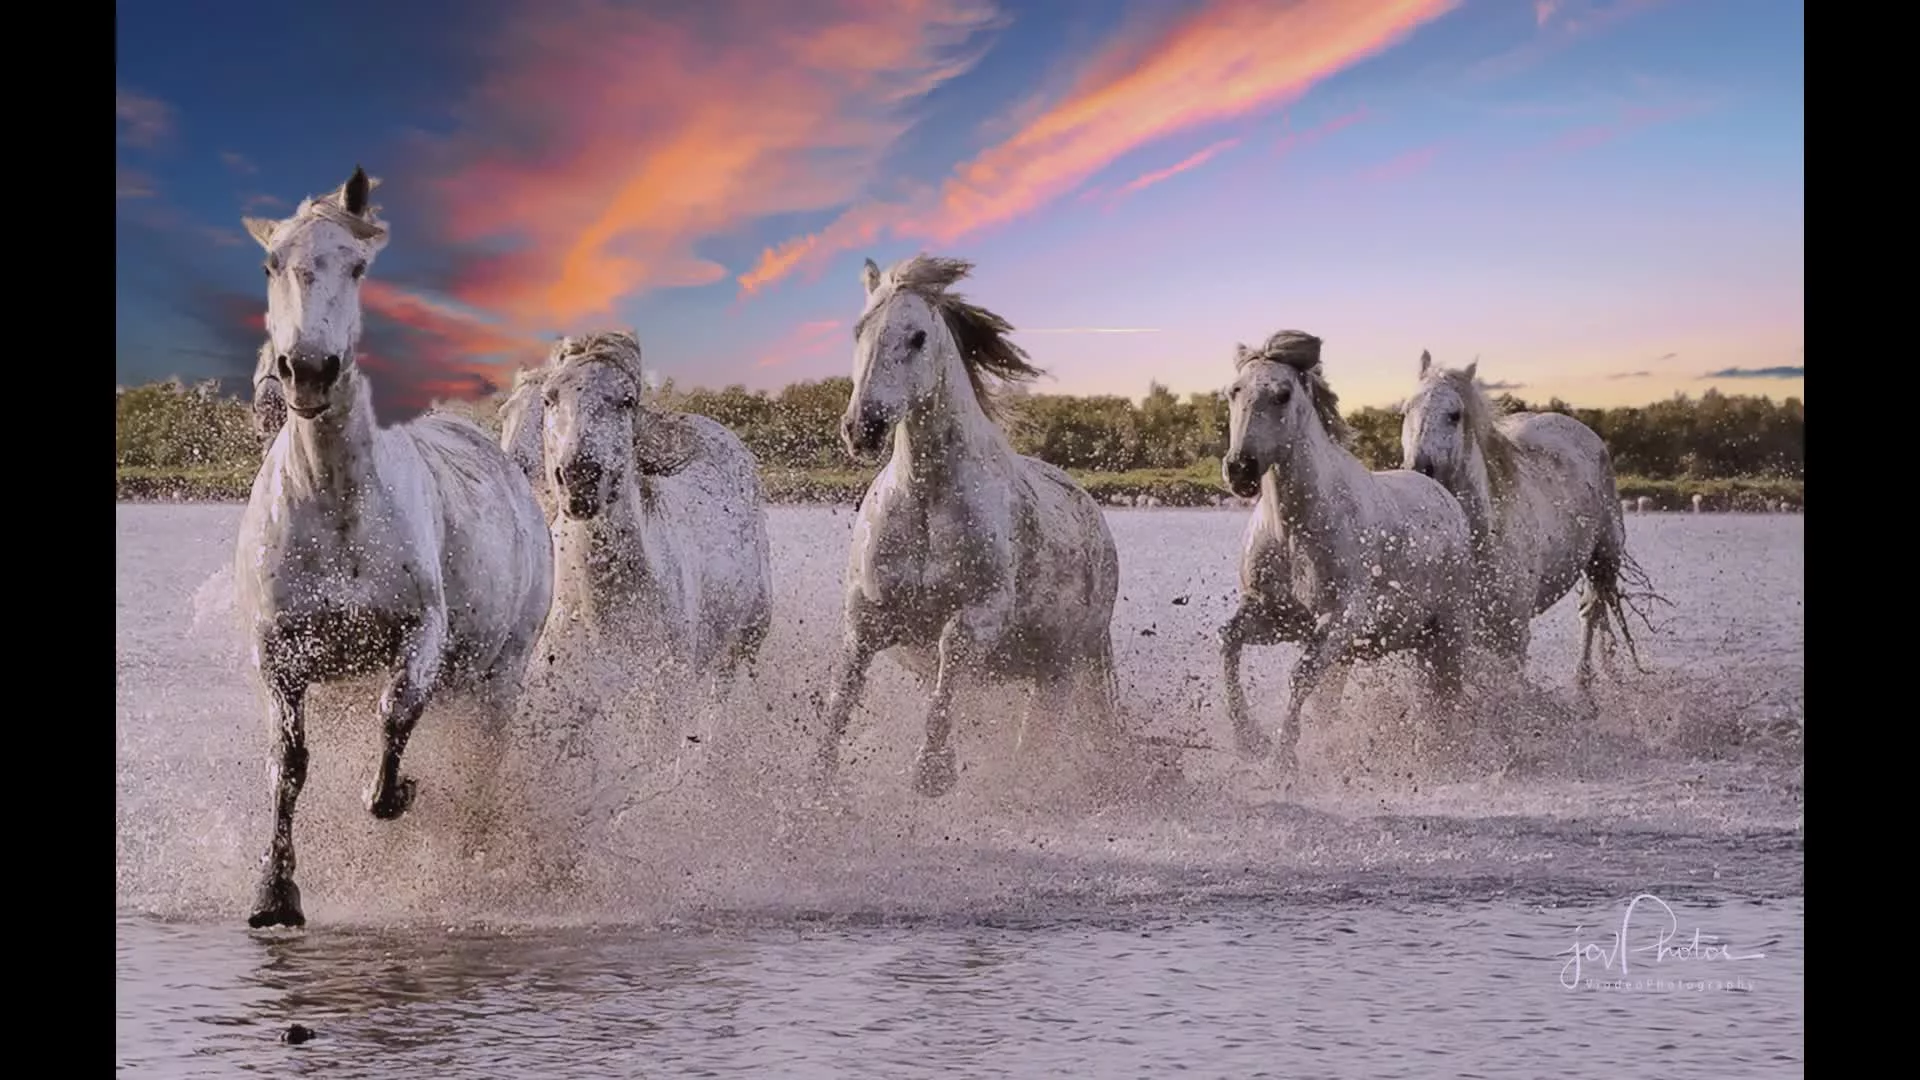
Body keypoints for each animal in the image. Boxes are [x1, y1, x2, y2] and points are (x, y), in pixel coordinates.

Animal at [232, 165, 554, 928]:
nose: (307, 371)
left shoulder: (420, 633)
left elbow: (398, 714)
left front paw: (398, 795)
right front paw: (275, 894)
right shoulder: (279, 651)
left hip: (501, 674)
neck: (335, 508)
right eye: (270, 263)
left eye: (356, 266)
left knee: (483, 760)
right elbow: (288, 762)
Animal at [816, 254, 1122, 797]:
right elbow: (841, 698)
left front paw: (933, 770)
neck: (926, 499)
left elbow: (951, 652)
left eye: (917, 336)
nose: (862, 428)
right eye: (859, 329)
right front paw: (819, 784)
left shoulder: (984, 614)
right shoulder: (865, 617)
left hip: (1062, 667)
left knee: (1039, 740)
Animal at [1218, 331, 1474, 777]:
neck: (1294, 531)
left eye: (1282, 394)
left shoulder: (1340, 620)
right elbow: (1229, 643)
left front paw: (1283, 760)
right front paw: (1250, 740)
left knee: (1449, 694)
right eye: (1234, 391)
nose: (1240, 470)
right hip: (1419, 640)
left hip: (1449, 631)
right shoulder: (1276, 617)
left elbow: (1301, 676)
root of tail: (1443, 495)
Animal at [1400, 352, 1656, 686]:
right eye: (1405, 411)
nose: (1419, 469)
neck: (1483, 538)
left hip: (1603, 561)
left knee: (1592, 611)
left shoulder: (1511, 637)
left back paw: (1585, 676)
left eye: (1454, 415)